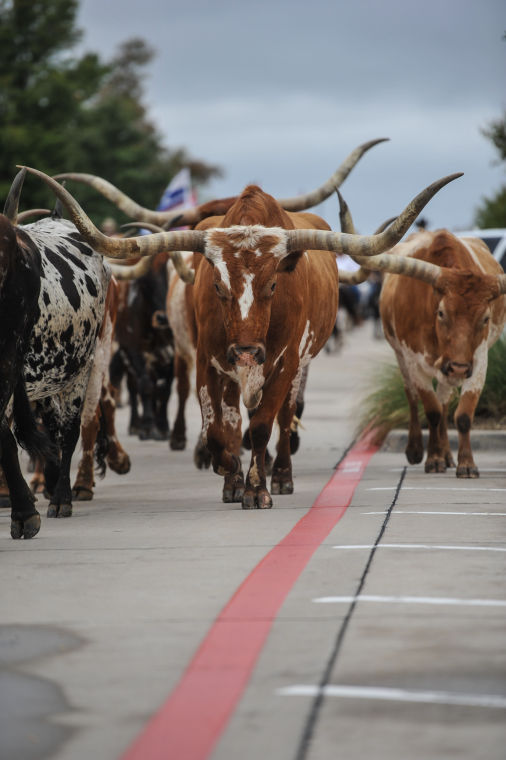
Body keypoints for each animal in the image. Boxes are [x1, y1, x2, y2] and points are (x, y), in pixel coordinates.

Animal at [25, 165, 462, 508]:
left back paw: (281, 474)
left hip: (294, 366)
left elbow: (263, 424)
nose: (249, 349)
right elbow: (220, 428)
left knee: (284, 416)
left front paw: (258, 489)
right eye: (218, 285)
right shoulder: (208, 360)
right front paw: (229, 474)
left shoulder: (284, 363)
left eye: (273, 284)